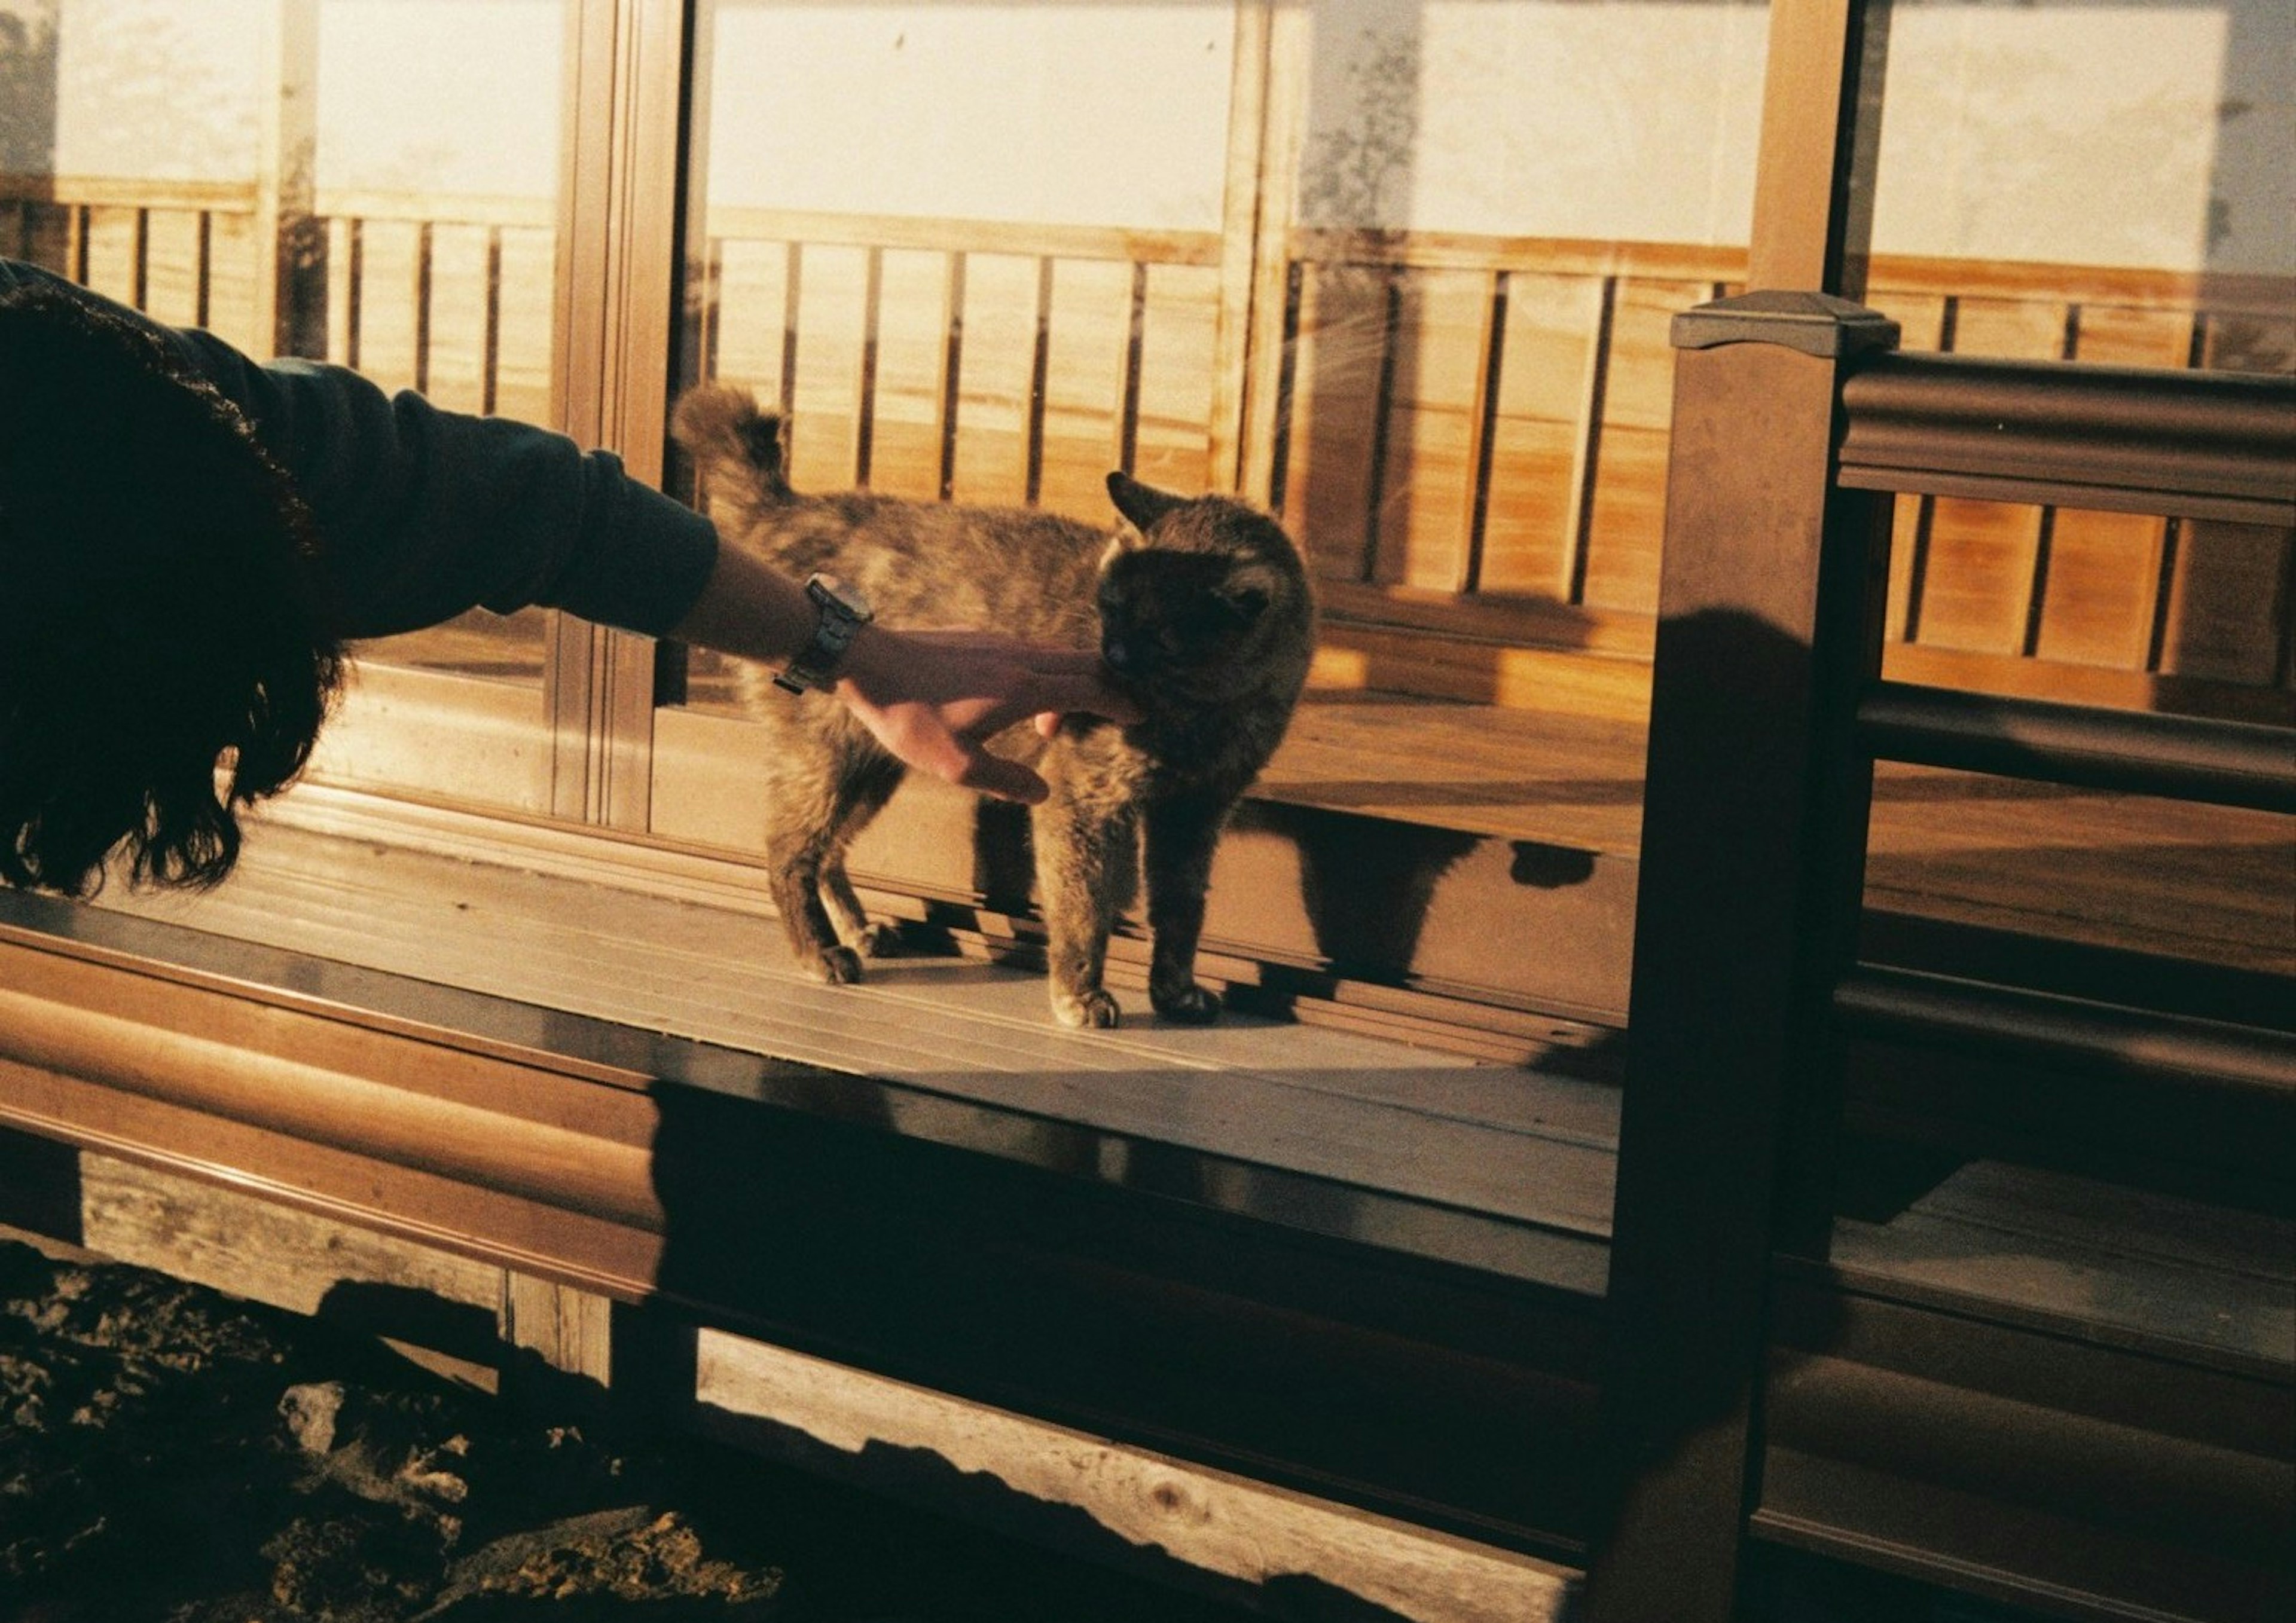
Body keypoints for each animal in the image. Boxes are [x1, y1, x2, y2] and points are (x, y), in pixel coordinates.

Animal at [670, 383, 1313, 1028]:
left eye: (1161, 635)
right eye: (1110, 605)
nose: (1111, 653)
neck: (1208, 714)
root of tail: (788, 508)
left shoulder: (1196, 813)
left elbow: (1183, 913)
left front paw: (1176, 992)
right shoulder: (1083, 799)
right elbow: (1084, 908)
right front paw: (1080, 995)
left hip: (875, 763)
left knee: (827, 851)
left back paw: (858, 931)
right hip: (828, 755)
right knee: (787, 850)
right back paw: (821, 952)